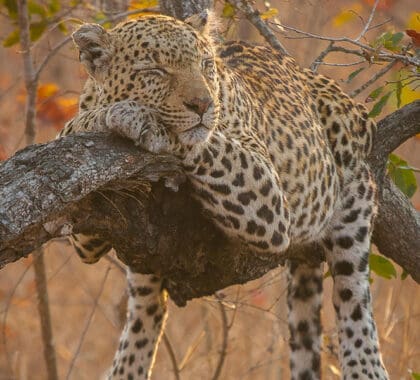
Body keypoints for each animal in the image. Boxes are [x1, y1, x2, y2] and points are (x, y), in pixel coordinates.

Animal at [58, 11, 388, 380]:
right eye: (155, 71)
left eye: (205, 65)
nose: (202, 104)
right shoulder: (86, 235)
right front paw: (101, 117)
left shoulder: (267, 196)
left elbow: (201, 139)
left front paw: (137, 119)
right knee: (144, 309)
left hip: (353, 192)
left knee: (354, 300)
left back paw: (364, 364)